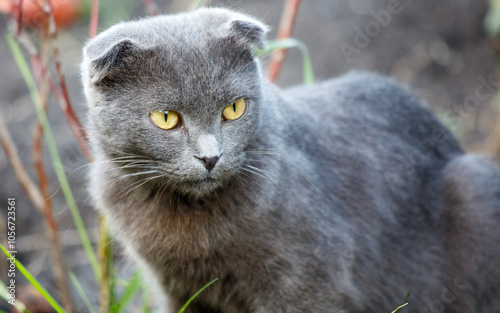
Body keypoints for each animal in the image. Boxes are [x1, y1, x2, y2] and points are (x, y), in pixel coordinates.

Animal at [80, 6, 500, 312]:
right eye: (166, 118)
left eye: (234, 109)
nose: (211, 157)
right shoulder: (176, 288)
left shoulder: (310, 279)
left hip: (474, 188)